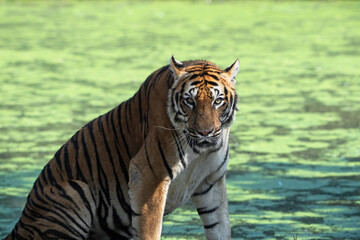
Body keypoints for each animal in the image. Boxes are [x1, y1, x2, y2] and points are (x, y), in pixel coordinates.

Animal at [3, 56, 239, 240]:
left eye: (217, 101)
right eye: (189, 101)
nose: (205, 132)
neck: (200, 153)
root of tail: (19, 225)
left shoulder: (211, 181)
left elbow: (220, 227)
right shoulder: (148, 176)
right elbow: (150, 230)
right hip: (75, 190)